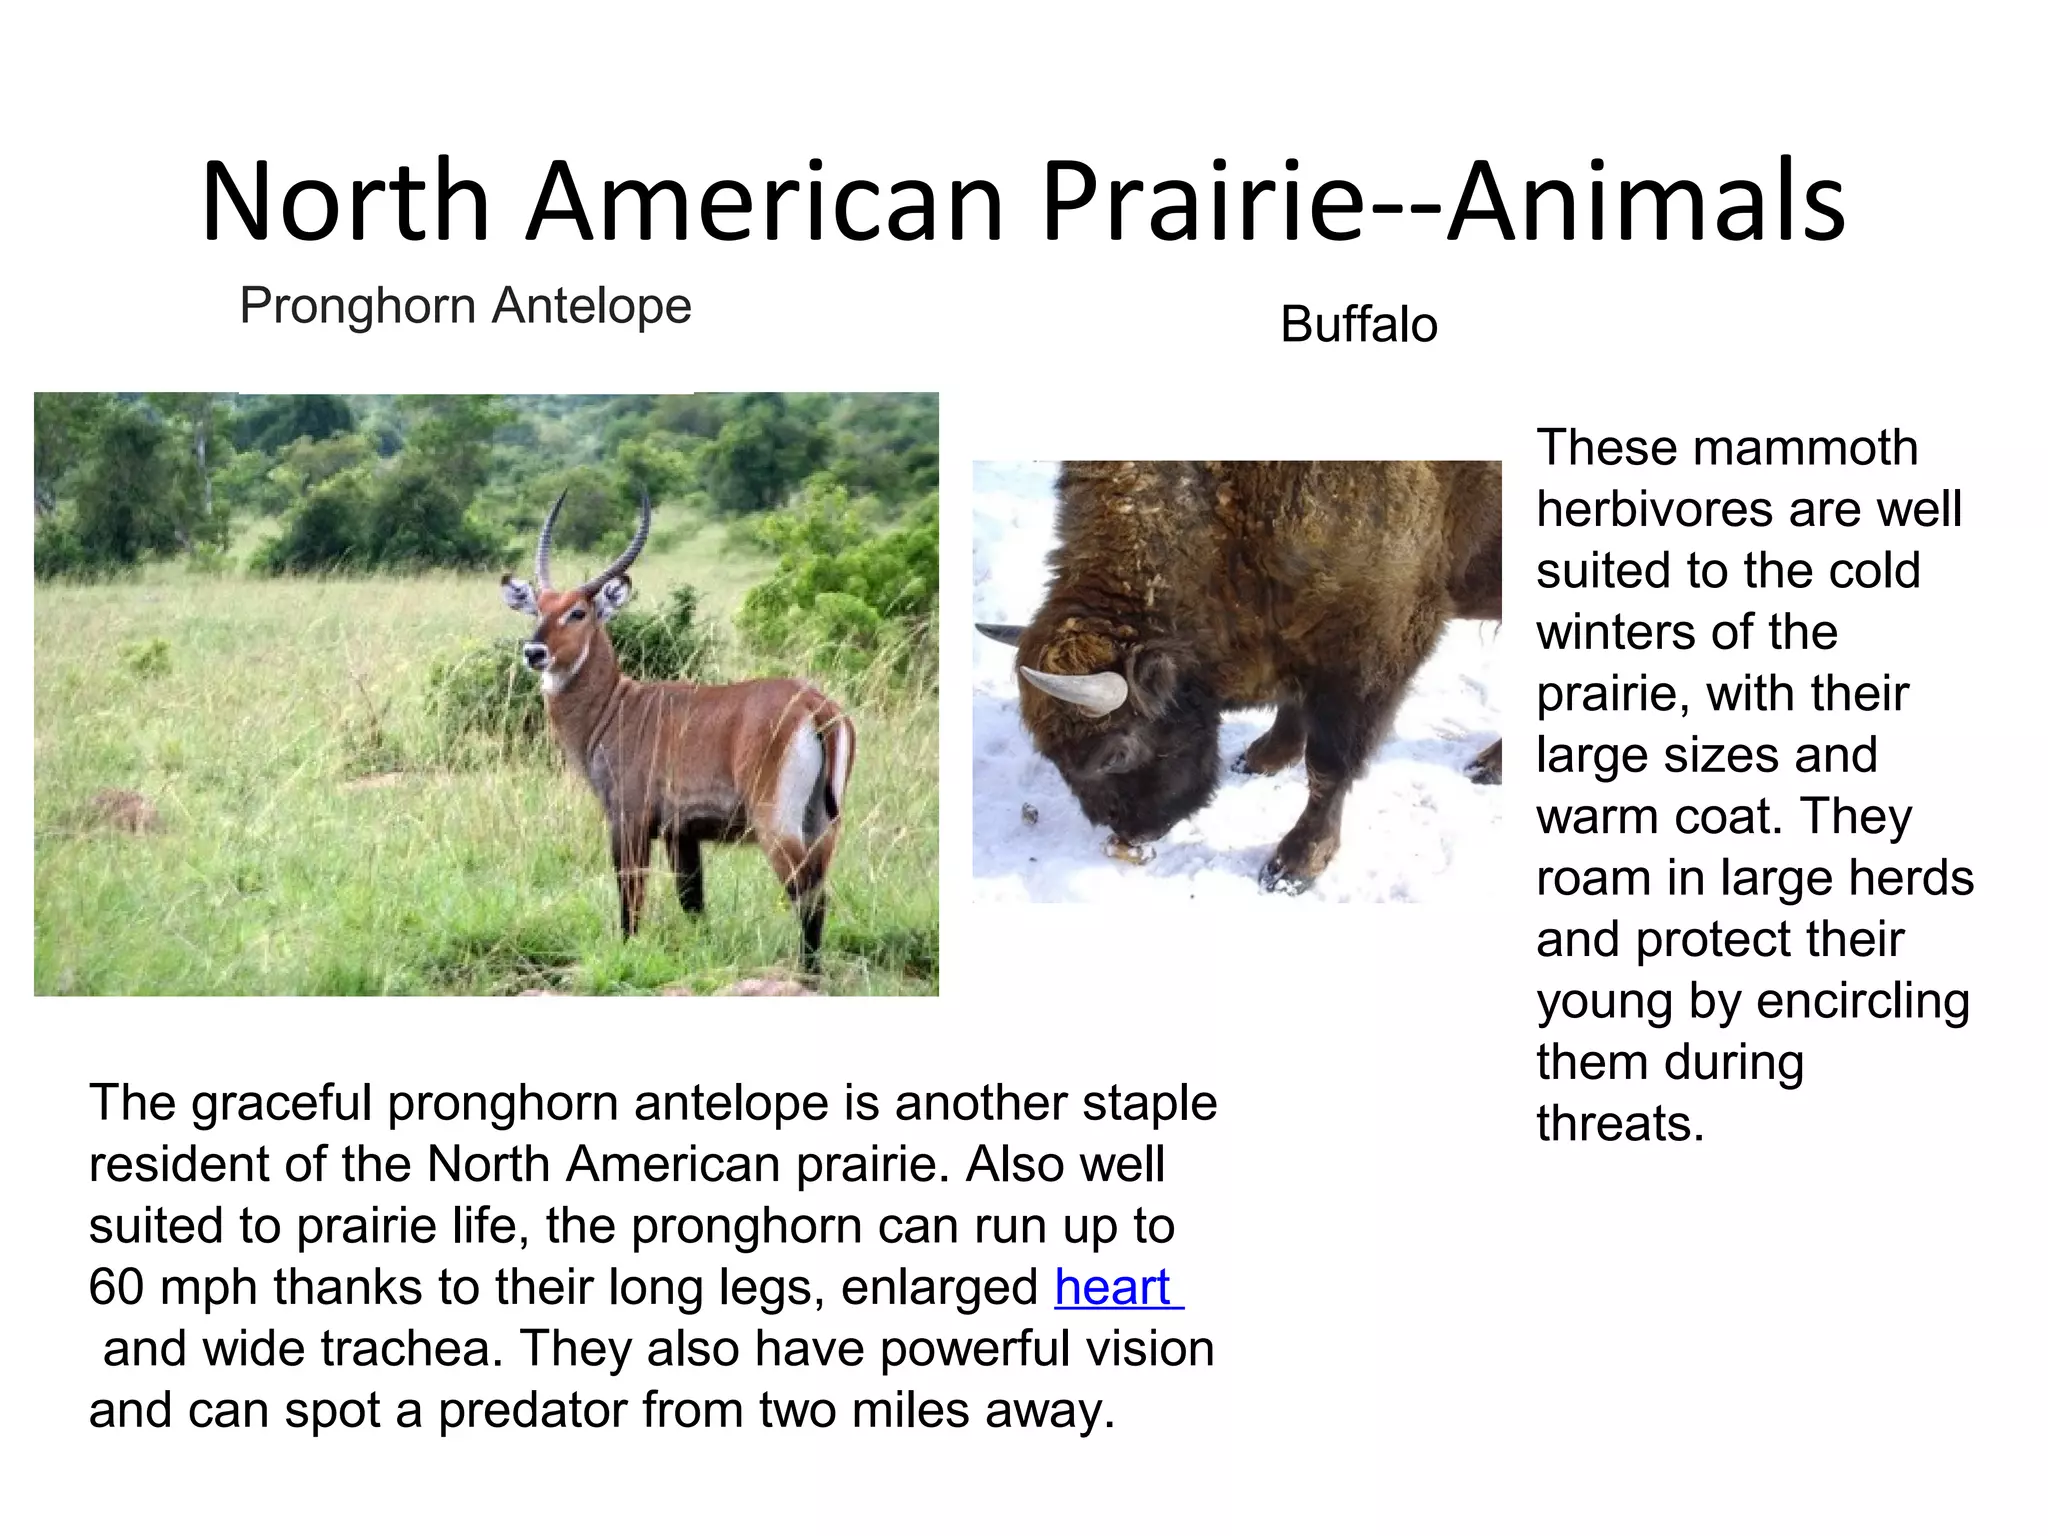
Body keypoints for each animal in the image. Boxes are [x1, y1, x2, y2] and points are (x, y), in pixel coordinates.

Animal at [501, 491, 856, 973]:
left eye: (577, 612)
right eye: (538, 609)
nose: (534, 652)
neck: (614, 705)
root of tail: (813, 704)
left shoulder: (628, 819)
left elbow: (631, 894)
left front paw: (627, 955)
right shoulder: (681, 833)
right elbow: (693, 902)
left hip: (776, 822)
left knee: (806, 894)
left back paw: (807, 975)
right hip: (822, 824)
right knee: (819, 889)